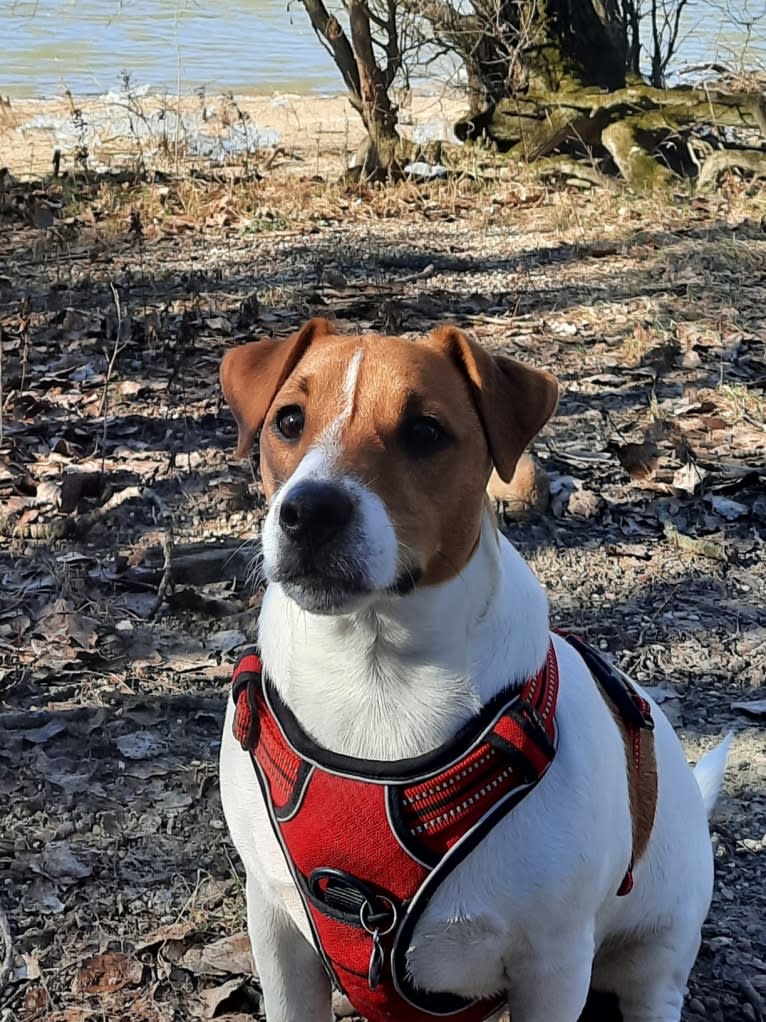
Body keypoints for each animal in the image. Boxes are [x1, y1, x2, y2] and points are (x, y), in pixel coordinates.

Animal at [217, 318, 731, 1021]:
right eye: (289, 421)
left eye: (424, 431)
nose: (310, 511)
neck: (374, 675)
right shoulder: (276, 928)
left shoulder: (553, 963)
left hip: (658, 949)